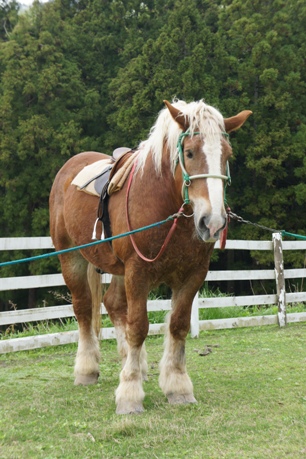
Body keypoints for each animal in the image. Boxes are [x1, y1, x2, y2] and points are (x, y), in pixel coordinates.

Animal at [49, 99, 251, 416]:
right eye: (189, 152)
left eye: (226, 155)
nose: (213, 222)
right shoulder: (138, 273)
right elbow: (139, 327)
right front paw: (130, 394)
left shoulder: (193, 274)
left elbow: (178, 325)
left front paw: (177, 386)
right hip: (71, 259)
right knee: (83, 309)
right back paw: (87, 369)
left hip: (118, 270)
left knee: (113, 304)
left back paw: (136, 365)